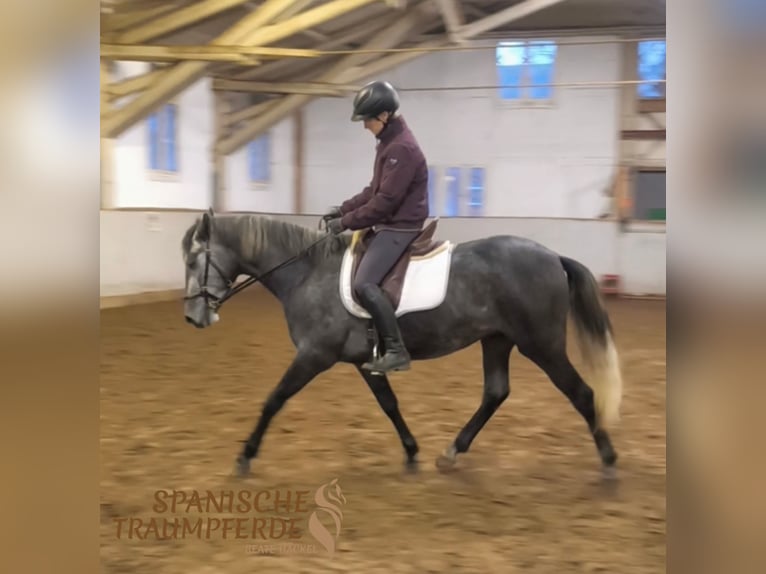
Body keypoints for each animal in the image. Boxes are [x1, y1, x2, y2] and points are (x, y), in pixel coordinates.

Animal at [181, 209, 623, 479]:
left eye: (192, 260)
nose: (193, 317)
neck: (308, 272)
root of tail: (553, 257)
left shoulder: (313, 355)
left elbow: (274, 399)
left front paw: (245, 455)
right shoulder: (364, 360)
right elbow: (389, 404)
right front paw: (411, 452)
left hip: (541, 344)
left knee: (582, 394)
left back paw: (609, 461)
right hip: (497, 340)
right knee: (496, 392)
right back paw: (451, 452)